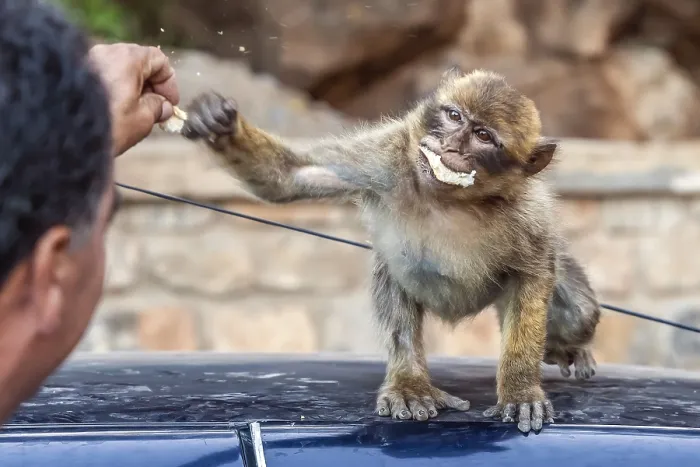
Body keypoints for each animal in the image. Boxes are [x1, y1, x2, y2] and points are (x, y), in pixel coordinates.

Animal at [178, 67, 601, 433]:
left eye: (483, 136)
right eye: (453, 116)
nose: (451, 146)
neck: (449, 200)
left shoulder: (529, 215)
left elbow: (533, 274)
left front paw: (519, 388)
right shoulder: (385, 157)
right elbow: (292, 177)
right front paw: (221, 126)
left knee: (580, 313)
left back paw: (564, 350)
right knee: (392, 277)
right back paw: (410, 383)